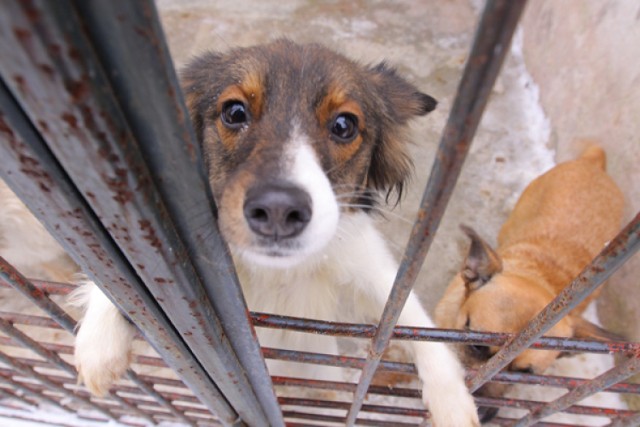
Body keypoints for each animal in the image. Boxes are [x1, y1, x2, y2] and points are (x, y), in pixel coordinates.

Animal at [71, 39, 480, 424]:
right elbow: (127, 261)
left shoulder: (368, 265)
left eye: (344, 125)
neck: (278, 272)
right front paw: (99, 342)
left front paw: (452, 402)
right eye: (234, 112)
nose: (279, 210)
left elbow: (413, 323)